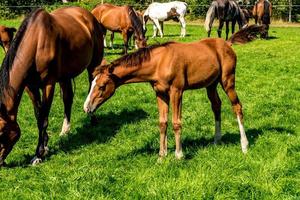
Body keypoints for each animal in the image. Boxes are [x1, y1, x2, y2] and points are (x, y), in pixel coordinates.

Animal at [0, 6, 104, 166]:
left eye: (1, 132)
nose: (0, 162)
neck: (36, 41)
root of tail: (88, 15)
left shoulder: (48, 85)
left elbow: (43, 118)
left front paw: (39, 154)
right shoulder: (30, 87)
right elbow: (38, 115)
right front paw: (45, 145)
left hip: (93, 65)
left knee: (91, 88)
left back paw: (92, 118)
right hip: (65, 76)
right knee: (67, 98)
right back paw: (65, 130)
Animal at [82, 25, 268, 159]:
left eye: (102, 86)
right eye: (92, 83)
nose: (86, 108)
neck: (160, 62)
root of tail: (227, 43)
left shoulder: (176, 91)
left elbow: (176, 122)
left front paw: (179, 154)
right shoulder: (160, 93)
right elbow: (162, 122)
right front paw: (162, 155)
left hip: (227, 81)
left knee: (237, 107)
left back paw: (244, 145)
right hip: (211, 85)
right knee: (216, 106)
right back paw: (217, 140)